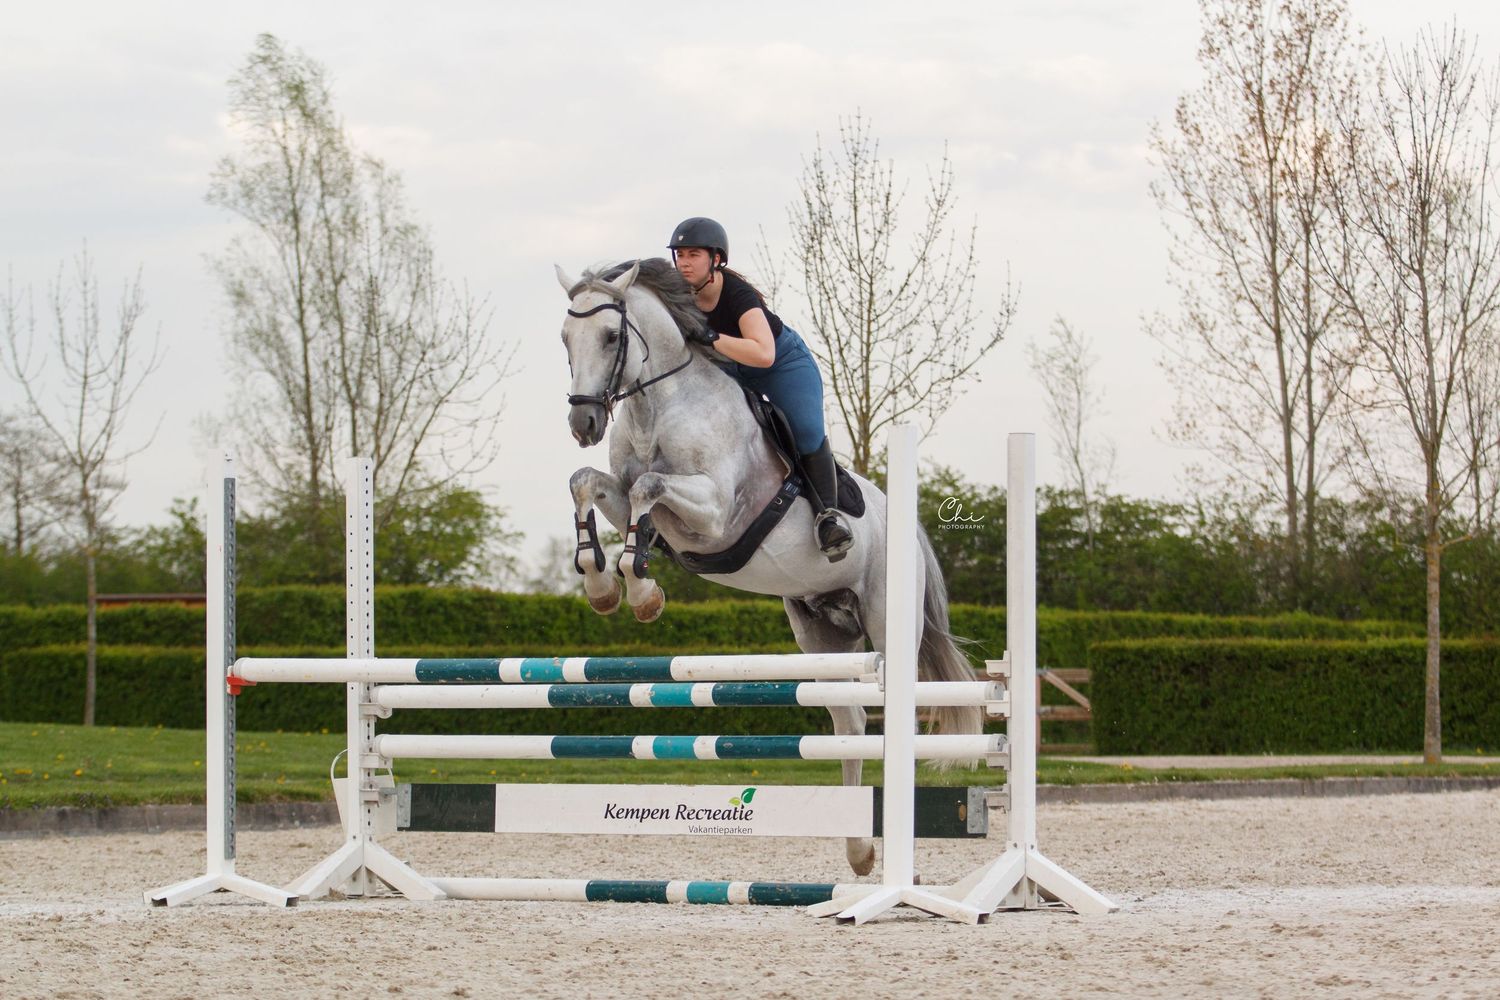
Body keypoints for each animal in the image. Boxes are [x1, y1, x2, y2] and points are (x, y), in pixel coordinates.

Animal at [556, 257, 981, 876]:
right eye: (566, 338)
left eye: (612, 336)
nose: (584, 422)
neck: (657, 409)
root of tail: (906, 524)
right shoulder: (636, 497)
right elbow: (589, 482)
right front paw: (605, 584)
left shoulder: (714, 516)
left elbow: (646, 487)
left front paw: (640, 592)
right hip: (821, 632)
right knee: (851, 725)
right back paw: (859, 852)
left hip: (884, 622)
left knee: (892, 715)